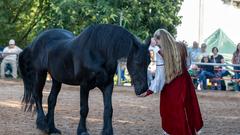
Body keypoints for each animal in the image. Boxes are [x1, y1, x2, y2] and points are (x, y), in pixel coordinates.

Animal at [18, 23, 150, 134]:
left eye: (148, 62)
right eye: (138, 62)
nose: (143, 89)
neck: (98, 52)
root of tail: (34, 42)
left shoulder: (107, 85)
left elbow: (108, 109)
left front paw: (107, 131)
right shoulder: (84, 85)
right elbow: (84, 109)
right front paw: (82, 131)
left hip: (56, 79)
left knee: (51, 100)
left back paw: (52, 128)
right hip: (40, 73)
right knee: (38, 96)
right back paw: (43, 125)